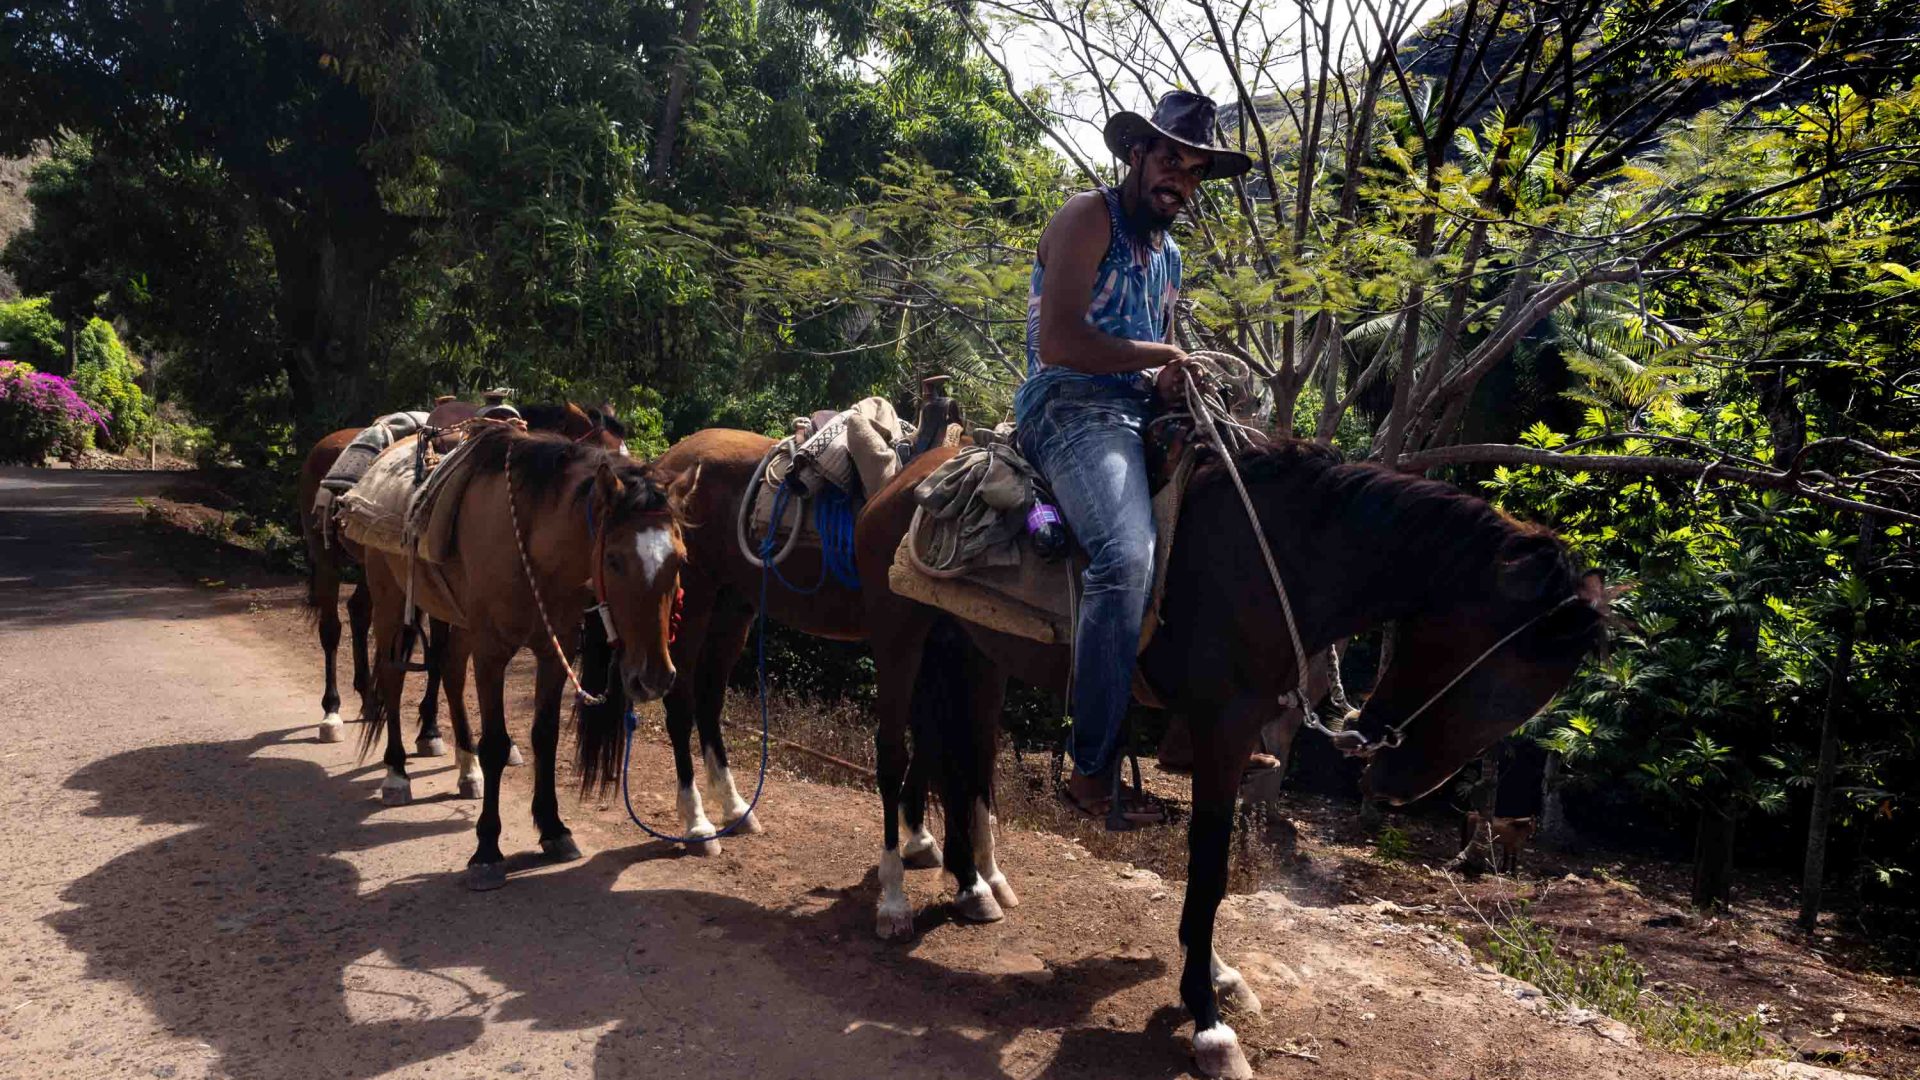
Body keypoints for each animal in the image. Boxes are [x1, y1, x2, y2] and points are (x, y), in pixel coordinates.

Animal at [353, 424, 683, 887]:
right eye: (614, 560)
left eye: (679, 561)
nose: (653, 678)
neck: (532, 544)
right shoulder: (492, 652)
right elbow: (496, 743)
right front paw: (487, 850)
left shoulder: (554, 650)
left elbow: (544, 736)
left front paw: (554, 829)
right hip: (389, 599)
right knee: (392, 676)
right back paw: (397, 775)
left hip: (459, 621)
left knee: (450, 673)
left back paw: (466, 769)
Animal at [856, 440, 1605, 1076]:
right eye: (1504, 686)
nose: (1394, 783)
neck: (1281, 561)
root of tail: (905, 476)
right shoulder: (1223, 729)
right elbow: (1211, 868)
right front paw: (1210, 1022)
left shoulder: (1231, 738)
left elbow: (1206, 868)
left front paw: (1217, 974)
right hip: (900, 637)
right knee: (894, 755)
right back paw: (894, 900)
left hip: (970, 650)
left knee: (964, 760)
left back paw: (974, 885)